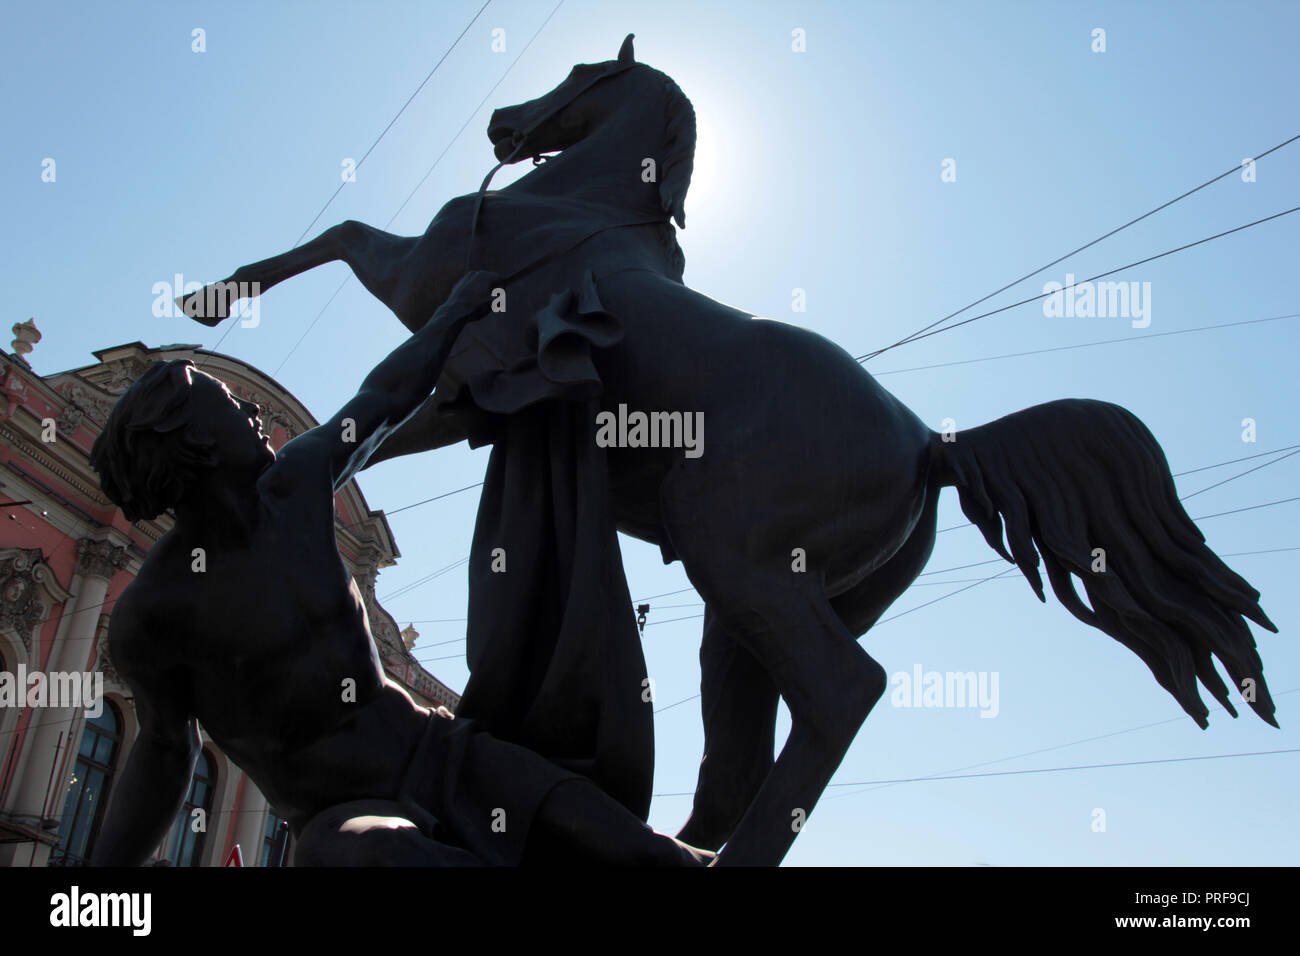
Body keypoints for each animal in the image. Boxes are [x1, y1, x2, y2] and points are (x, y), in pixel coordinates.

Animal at [180, 35, 1279, 868]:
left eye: (584, 69)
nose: (503, 123)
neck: (578, 202)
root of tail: (928, 443)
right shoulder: (460, 389)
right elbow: (370, 412)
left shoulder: (427, 295)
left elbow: (347, 254)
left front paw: (217, 307)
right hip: (765, 598)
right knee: (754, 729)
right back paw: (683, 840)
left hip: (737, 561)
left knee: (844, 690)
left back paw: (706, 858)